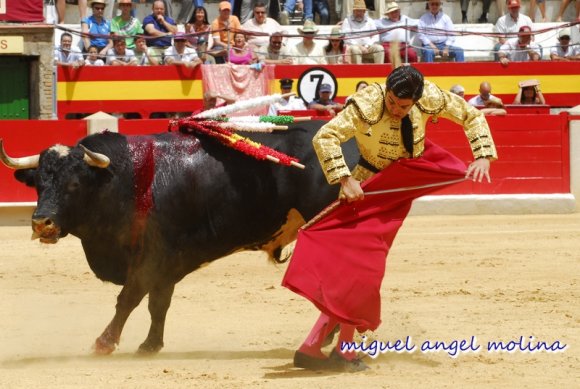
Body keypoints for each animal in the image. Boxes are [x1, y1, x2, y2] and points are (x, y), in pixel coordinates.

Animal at [0, 121, 360, 354]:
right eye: (38, 184)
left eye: (74, 184)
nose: (41, 223)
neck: (123, 180)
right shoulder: (165, 262)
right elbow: (158, 303)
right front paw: (150, 345)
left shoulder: (153, 256)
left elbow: (128, 299)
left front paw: (104, 342)